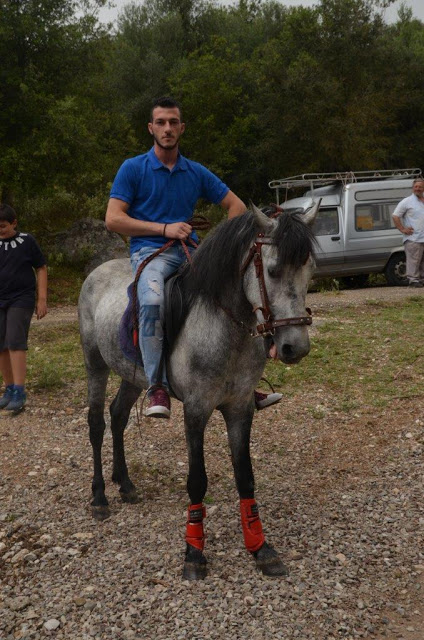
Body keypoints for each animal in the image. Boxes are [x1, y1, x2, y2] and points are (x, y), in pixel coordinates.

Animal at [78, 204, 318, 580]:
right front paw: (193, 553)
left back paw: (126, 484)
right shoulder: (196, 410)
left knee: (117, 416)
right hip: (95, 364)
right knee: (96, 424)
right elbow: (197, 481)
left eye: (310, 270)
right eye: (273, 270)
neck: (224, 327)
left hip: (132, 374)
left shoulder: (239, 409)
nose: (296, 347)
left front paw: (261, 547)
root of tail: (97, 272)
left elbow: (246, 477)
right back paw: (100, 497)